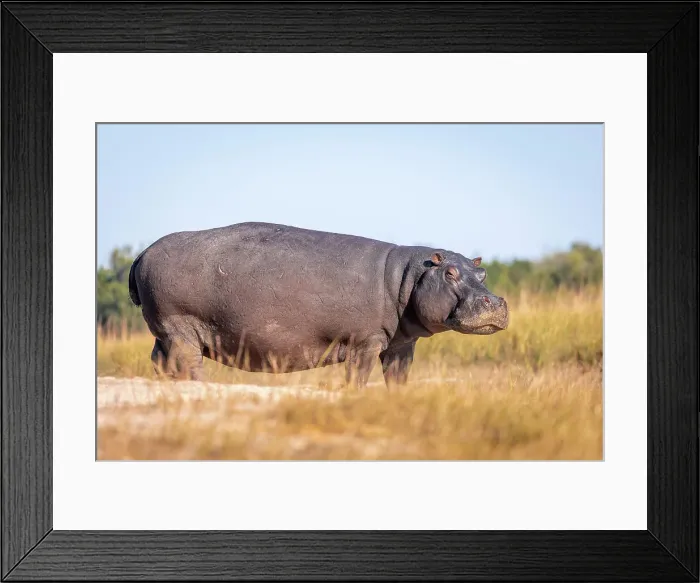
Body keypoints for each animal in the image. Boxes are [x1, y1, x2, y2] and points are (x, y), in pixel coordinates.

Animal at [128, 222, 509, 387]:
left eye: (482, 271)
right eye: (450, 273)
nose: (495, 300)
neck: (408, 275)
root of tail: (142, 254)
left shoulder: (401, 345)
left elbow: (398, 379)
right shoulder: (364, 343)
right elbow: (357, 378)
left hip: (164, 333)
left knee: (159, 361)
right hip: (180, 328)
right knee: (188, 365)